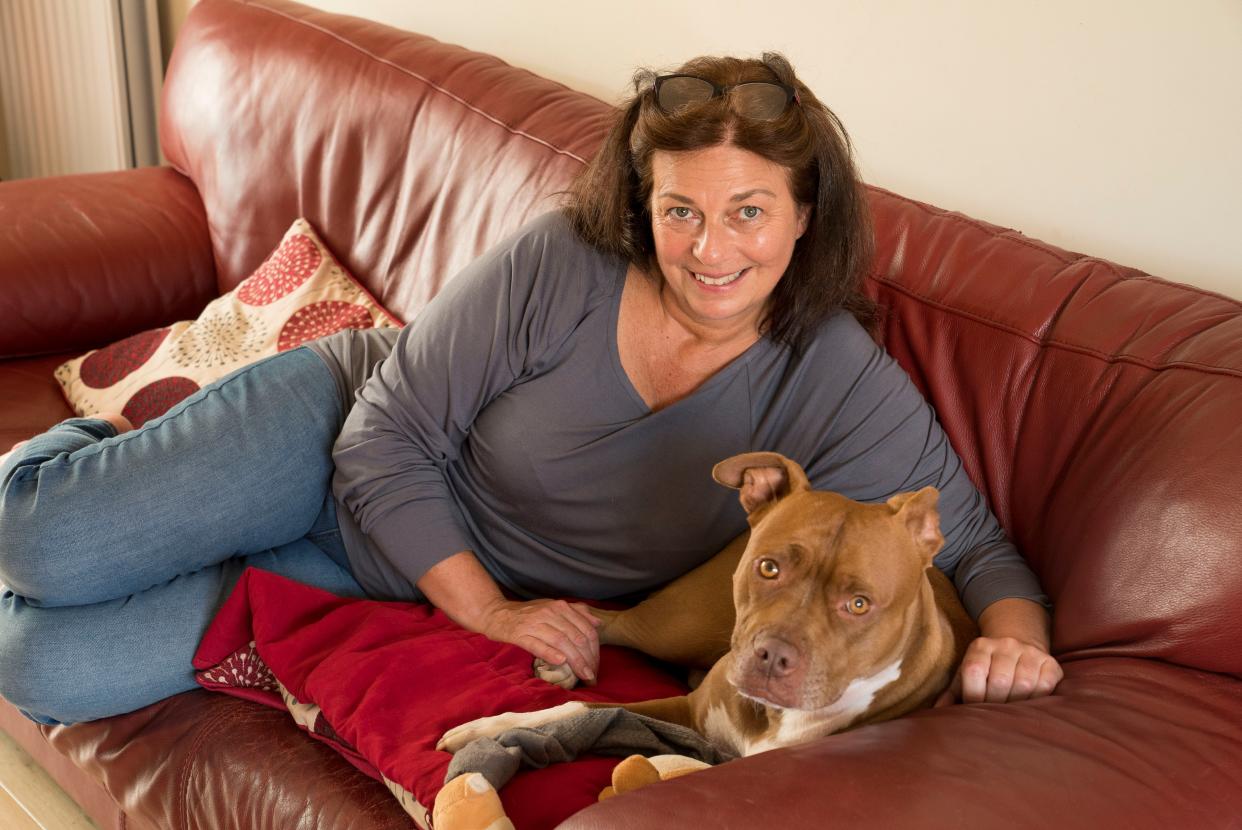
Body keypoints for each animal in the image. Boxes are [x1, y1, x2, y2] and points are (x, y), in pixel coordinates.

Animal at [439, 454, 978, 760]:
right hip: (679, 624)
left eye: (859, 603)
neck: (771, 718)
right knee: (611, 621)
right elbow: (578, 710)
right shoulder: (684, 708)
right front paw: (485, 729)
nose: (772, 657)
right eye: (769, 568)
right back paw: (565, 654)